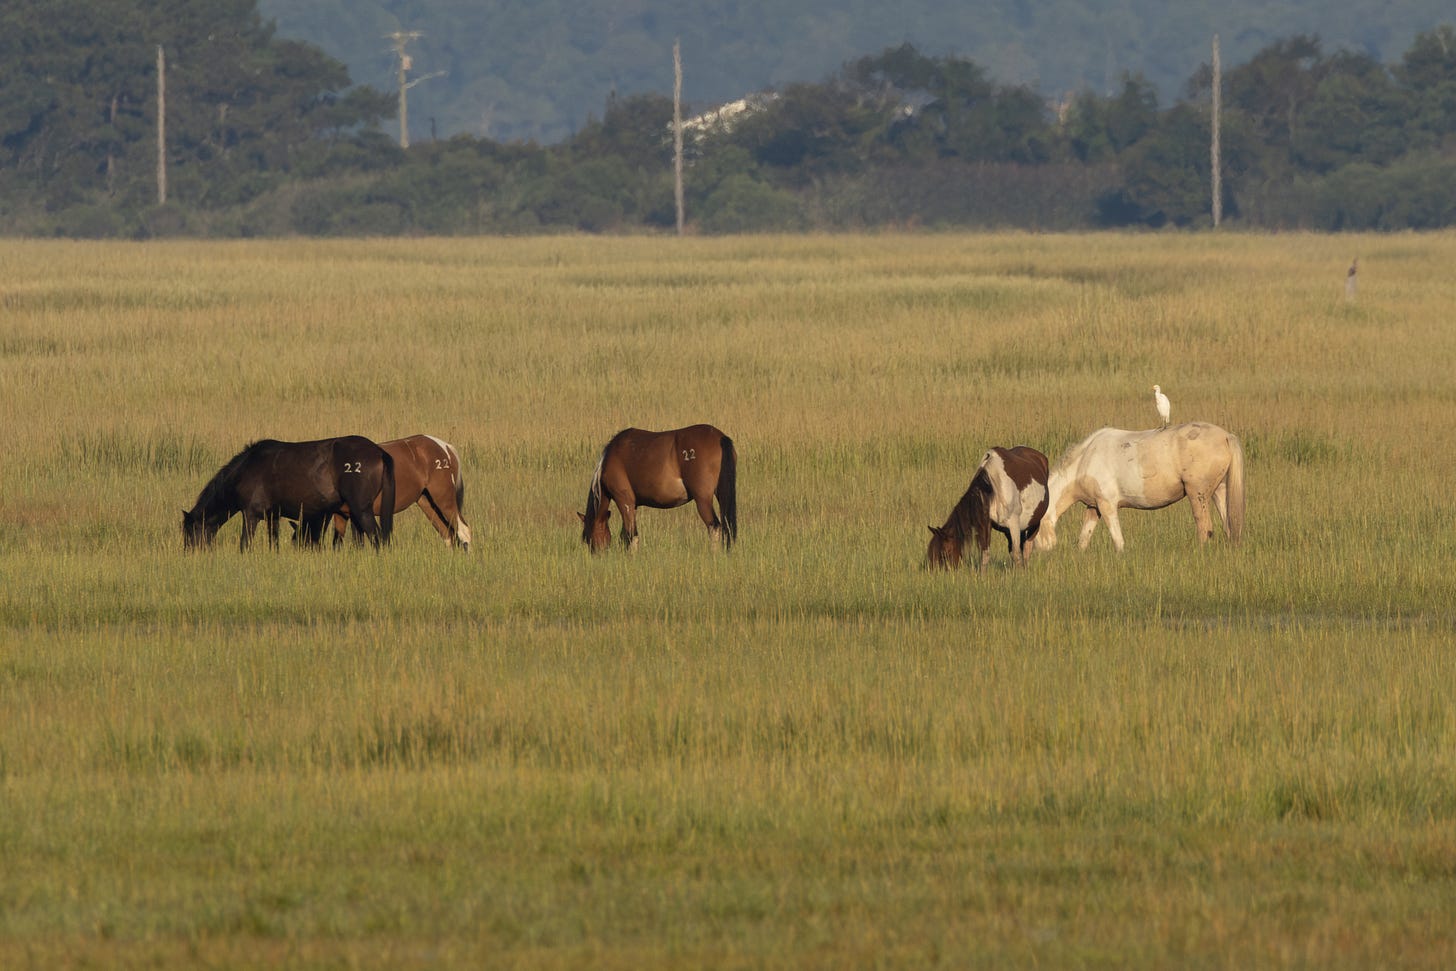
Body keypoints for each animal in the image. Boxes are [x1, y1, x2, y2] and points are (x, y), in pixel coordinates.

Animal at [182, 436, 396, 551]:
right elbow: (273, 544)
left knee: (378, 539)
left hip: (362, 510)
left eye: (190, 532)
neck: (245, 469)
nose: (188, 553)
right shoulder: (272, 516)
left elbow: (245, 545)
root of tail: (378, 452)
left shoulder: (250, 514)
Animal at [306, 435, 472, 550]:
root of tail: (446, 448)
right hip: (427, 502)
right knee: (448, 535)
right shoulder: (346, 515)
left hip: (443, 499)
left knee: (463, 531)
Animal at [578, 424, 737, 553]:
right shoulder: (633, 505)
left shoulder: (624, 501)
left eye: (588, 538)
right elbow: (625, 536)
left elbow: (631, 536)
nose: (597, 556)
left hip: (703, 500)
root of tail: (720, 437)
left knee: (714, 526)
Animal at [1036, 422, 1245, 553]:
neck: (1085, 461)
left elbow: (1118, 541)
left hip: (1197, 495)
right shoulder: (1093, 508)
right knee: (1228, 525)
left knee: (1205, 528)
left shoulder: (1107, 506)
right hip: (1219, 492)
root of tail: (1226, 436)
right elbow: (1083, 539)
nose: (1039, 555)